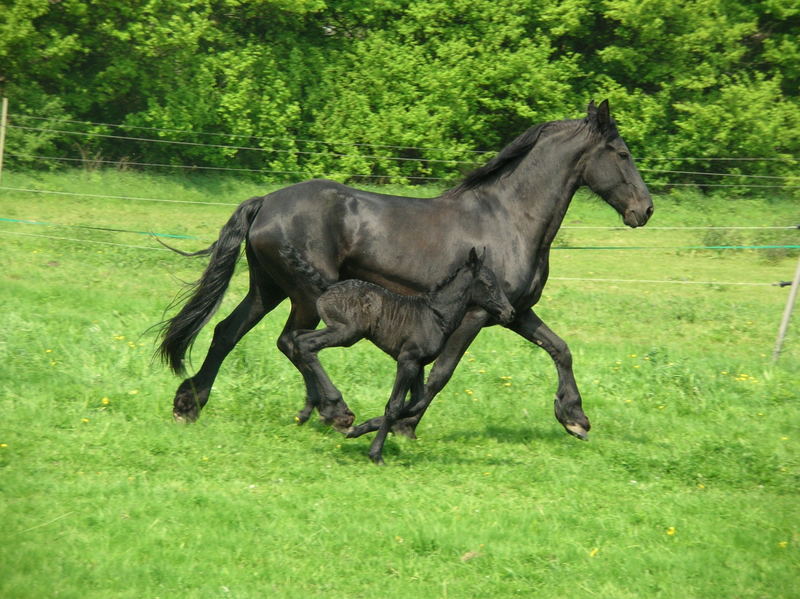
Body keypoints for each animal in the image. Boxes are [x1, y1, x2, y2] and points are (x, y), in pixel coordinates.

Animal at [159, 102, 652, 440]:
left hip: (269, 289)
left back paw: (190, 403)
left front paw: (575, 418)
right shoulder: (477, 315)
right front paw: (403, 424)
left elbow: (560, 349)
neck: (509, 219)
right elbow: (440, 373)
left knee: (227, 332)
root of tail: (265, 203)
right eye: (621, 153)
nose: (644, 210)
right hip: (308, 293)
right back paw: (334, 410)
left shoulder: (514, 311)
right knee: (292, 342)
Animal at [282, 246, 516, 466]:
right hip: (347, 332)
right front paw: (376, 454)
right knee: (306, 344)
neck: (434, 316)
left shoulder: (419, 365)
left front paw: (360, 429)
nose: (510, 312)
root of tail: (328, 286)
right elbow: (394, 406)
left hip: (339, 331)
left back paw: (324, 411)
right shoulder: (407, 361)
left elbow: (416, 403)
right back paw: (336, 408)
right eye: (489, 284)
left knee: (296, 339)